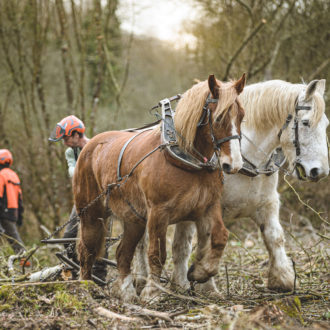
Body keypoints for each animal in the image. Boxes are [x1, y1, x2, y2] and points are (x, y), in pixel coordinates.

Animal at [74, 75, 245, 302]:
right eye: (218, 119)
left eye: (241, 117)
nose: (233, 164)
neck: (188, 158)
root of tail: (90, 145)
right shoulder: (159, 212)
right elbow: (157, 253)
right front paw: (152, 292)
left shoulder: (208, 206)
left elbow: (220, 238)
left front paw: (199, 272)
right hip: (91, 214)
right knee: (87, 250)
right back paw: (86, 289)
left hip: (134, 219)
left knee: (122, 253)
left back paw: (126, 291)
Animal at [133, 78, 328, 292]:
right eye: (306, 123)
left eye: (326, 124)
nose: (320, 171)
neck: (245, 158)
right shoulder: (207, 207)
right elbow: (201, 241)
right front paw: (203, 282)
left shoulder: (267, 204)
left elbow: (275, 237)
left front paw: (282, 278)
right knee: (143, 242)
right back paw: (143, 279)